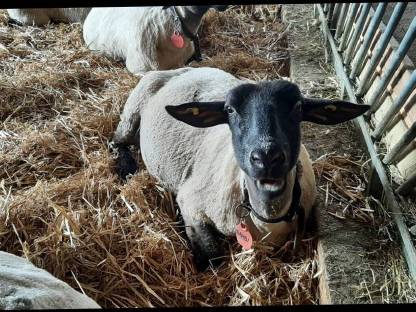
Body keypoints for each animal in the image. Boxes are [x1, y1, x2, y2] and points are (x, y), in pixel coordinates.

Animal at [112, 66, 368, 270]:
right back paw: (126, 168)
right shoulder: (190, 202)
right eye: (230, 110)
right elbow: (213, 258)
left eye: (297, 107)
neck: (267, 219)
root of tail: (183, 68)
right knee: (116, 140)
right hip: (133, 109)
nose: (267, 157)